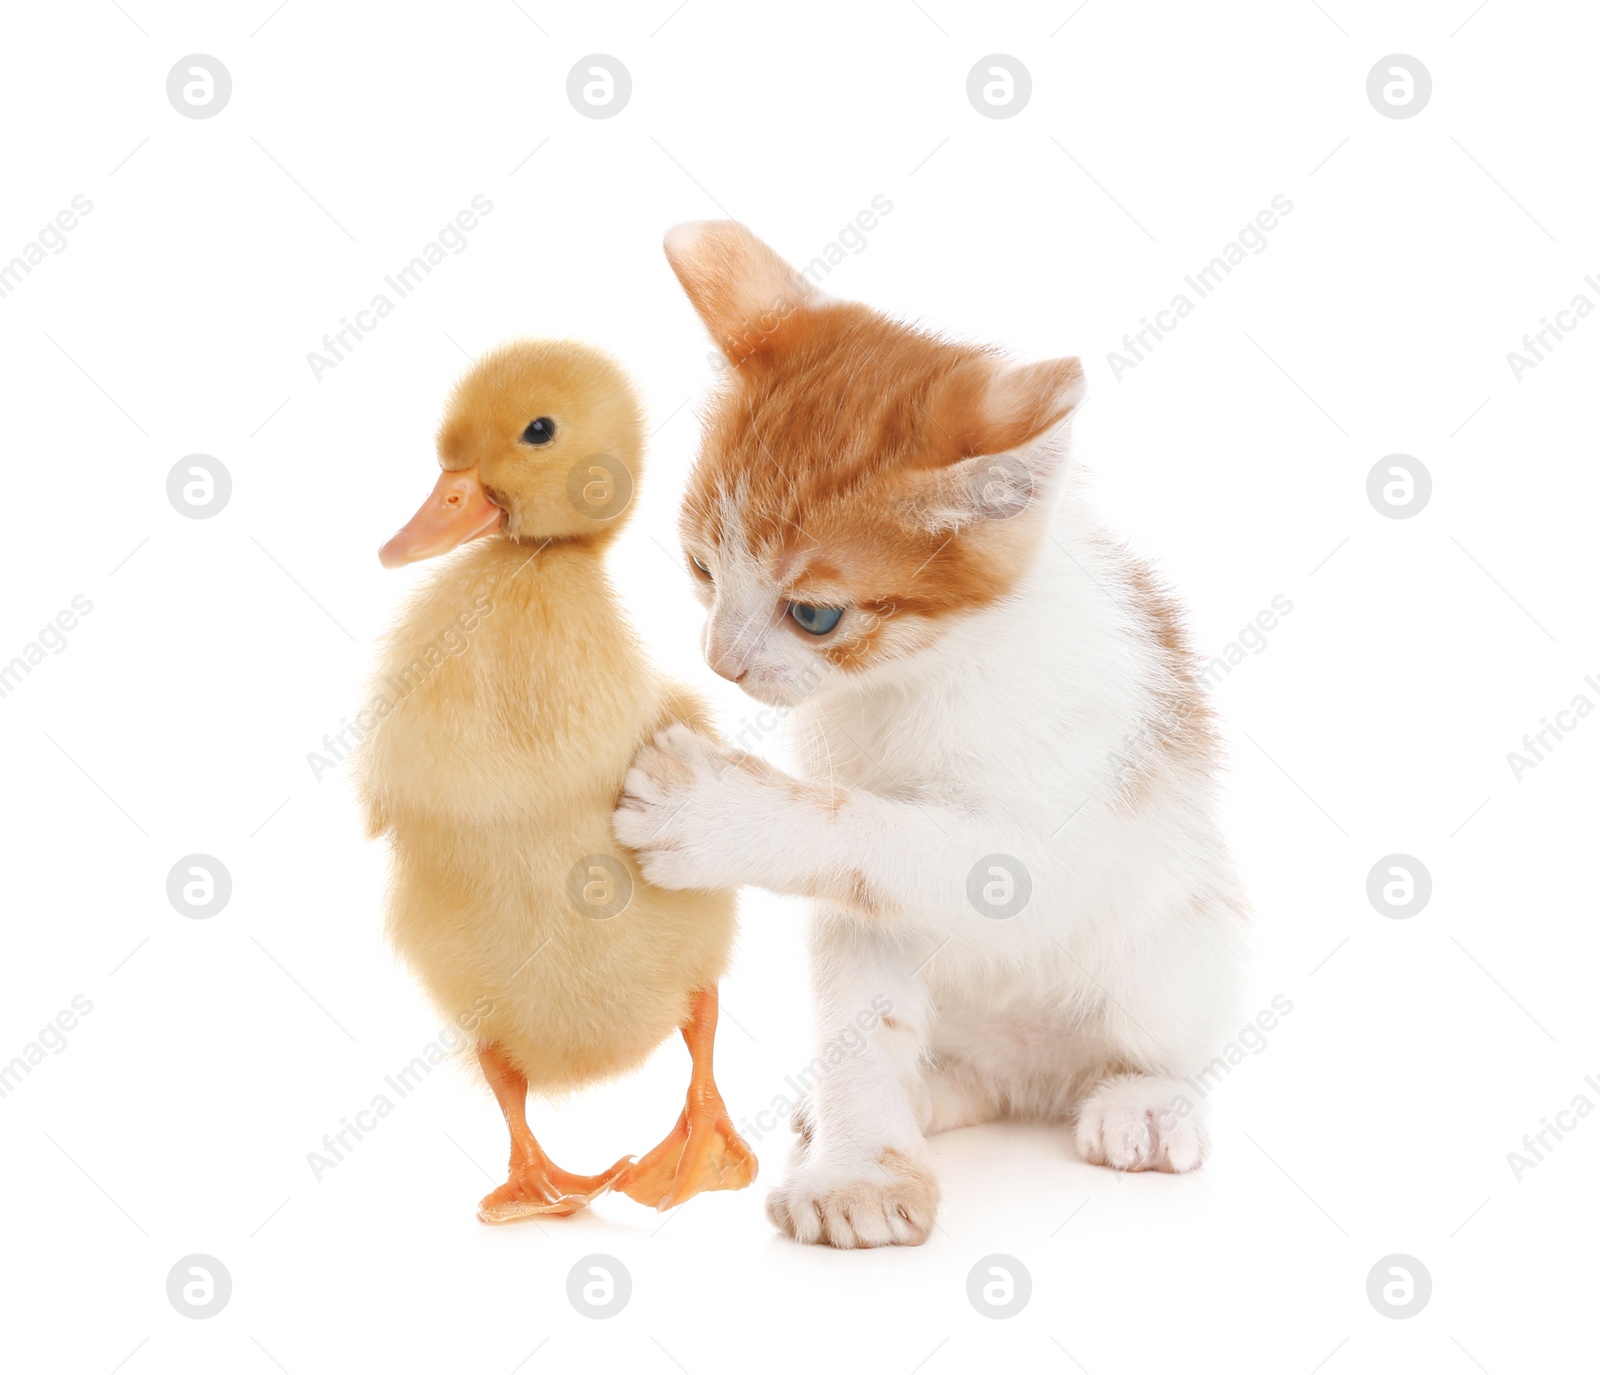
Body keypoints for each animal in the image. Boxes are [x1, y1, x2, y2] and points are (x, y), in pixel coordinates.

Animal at [611, 222, 1248, 1248]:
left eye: (814, 615)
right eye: (702, 568)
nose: (721, 661)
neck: (917, 677)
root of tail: (1031, 1075)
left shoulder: (1046, 842)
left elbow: (877, 828)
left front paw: (714, 812)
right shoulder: (864, 916)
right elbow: (863, 991)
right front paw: (859, 1166)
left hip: (1180, 939)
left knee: (1162, 1039)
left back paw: (1145, 1100)